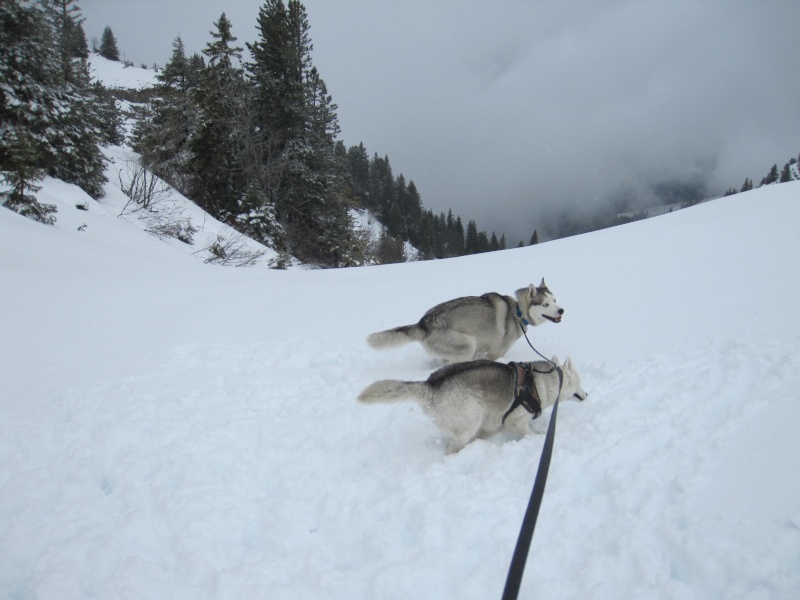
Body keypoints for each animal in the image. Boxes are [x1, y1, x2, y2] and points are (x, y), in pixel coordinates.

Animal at [360, 356, 584, 450]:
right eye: (580, 382)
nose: (586, 393)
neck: (539, 382)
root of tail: (431, 386)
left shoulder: (492, 424)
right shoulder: (516, 421)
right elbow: (531, 433)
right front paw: (541, 437)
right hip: (470, 420)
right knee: (452, 449)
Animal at [368, 278, 564, 364]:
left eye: (555, 300)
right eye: (545, 304)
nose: (562, 310)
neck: (517, 312)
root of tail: (424, 323)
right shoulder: (495, 353)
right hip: (467, 344)